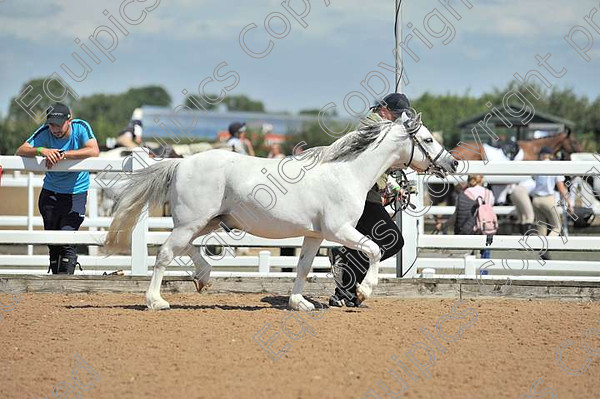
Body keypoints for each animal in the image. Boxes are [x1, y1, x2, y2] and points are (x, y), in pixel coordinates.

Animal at [105, 114, 458, 310]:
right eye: (428, 139)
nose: (453, 163)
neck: (346, 172)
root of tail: (180, 162)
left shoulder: (315, 235)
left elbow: (302, 268)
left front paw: (300, 303)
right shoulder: (339, 230)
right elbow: (373, 249)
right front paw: (363, 291)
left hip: (209, 222)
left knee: (185, 248)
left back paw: (203, 277)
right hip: (191, 222)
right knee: (165, 253)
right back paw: (156, 301)